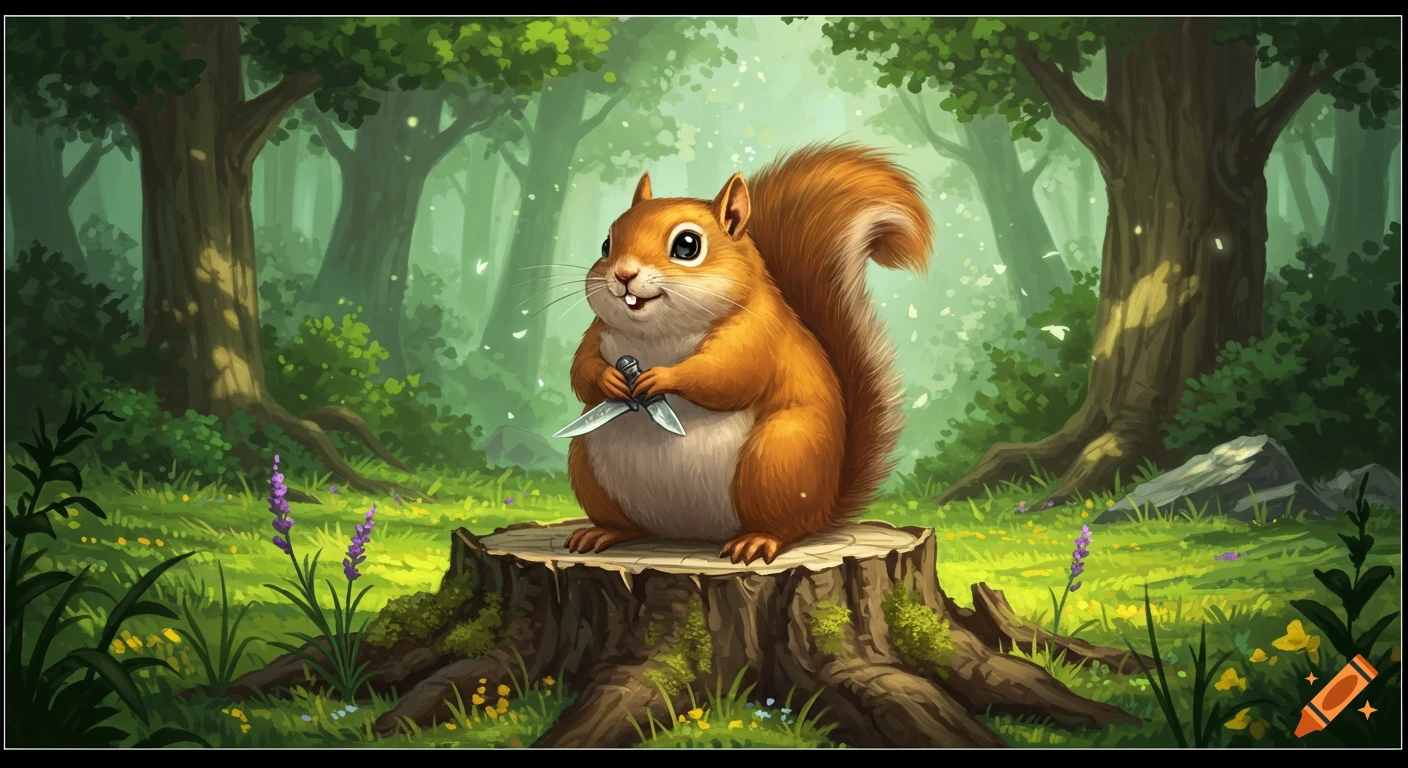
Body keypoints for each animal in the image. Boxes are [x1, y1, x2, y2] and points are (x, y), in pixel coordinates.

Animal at [565, 141, 934, 565]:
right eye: (606, 245)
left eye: (687, 246)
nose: (623, 274)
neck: (657, 333)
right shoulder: (597, 333)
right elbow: (582, 370)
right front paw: (609, 378)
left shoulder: (757, 335)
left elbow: (727, 375)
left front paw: (662, 377)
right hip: (587, 465)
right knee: (628, 524)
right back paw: (602, 532)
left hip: (776, 457)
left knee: (786, 527)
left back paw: (758, 541)